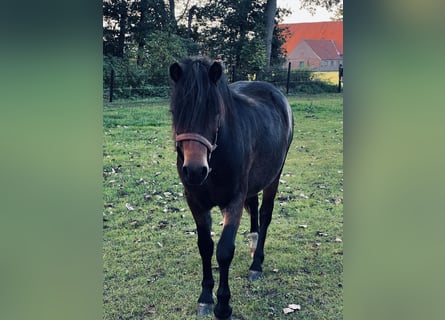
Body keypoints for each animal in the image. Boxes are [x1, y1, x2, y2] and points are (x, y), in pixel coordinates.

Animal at [168, 56, 294, 318]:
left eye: (215, 113)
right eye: (175, 112)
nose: (195, 170)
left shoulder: (233, 201)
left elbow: (224, 251)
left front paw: (223, 305)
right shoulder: (195, 202)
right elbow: (205, 246)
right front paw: (205, 298)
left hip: (274, 177)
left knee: (265, 214)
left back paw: (256, 263)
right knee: (254, 207)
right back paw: (254, 244)